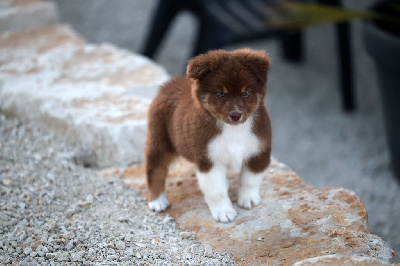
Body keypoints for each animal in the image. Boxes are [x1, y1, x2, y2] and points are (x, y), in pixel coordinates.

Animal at [145, 48, 274, 222]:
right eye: (221, 93)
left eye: (246, 93)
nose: (236, 115)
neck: (233, 131)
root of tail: (169, 84)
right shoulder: (209, 159)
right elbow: (216, 191)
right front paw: (224, 212)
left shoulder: (259, 150)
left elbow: (251, 179)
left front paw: (249, 199)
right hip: (159, 139)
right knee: (155, 169)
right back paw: (157, 201)